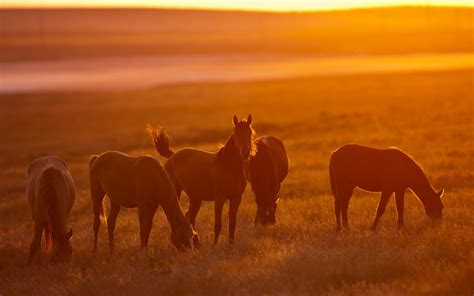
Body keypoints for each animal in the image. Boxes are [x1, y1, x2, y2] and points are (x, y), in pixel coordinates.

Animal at [150, 114, 256, 244]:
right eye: (235, 133)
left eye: (250, 133)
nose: (245, 152)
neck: (229, 167)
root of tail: (173, 155)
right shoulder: (219, 198)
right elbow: (218, 225)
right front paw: (214, 246)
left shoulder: (236, 198)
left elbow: (232, 224)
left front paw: (231, 245)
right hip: (177, 192)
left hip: (196, 198)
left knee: (190, 217)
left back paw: (196, 242)